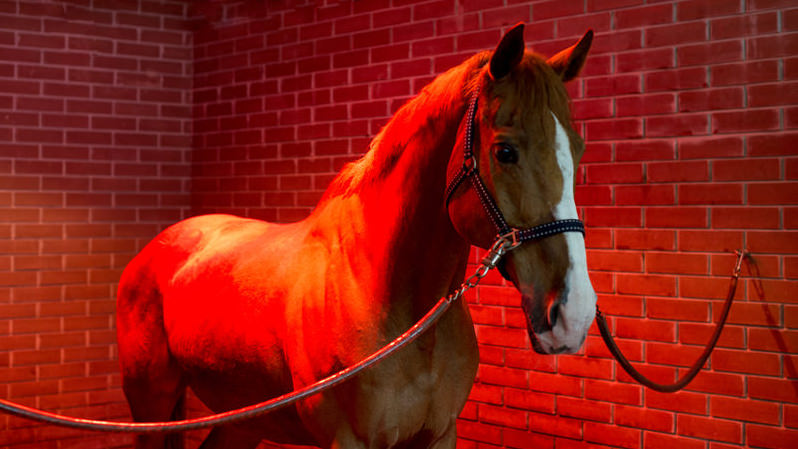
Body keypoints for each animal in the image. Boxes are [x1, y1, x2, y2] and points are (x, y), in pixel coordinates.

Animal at [117, 25, 592, 448]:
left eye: (578, 147)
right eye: (505, 151)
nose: (575, 314)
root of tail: (157, 248)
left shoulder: (440, 436)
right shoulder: (346, 440)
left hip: (245, 420)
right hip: (151, 408)